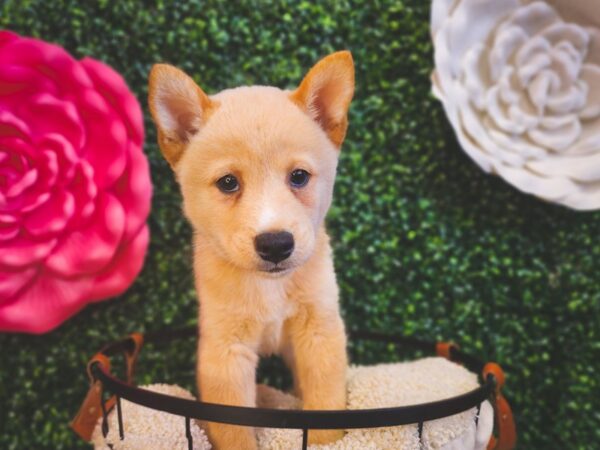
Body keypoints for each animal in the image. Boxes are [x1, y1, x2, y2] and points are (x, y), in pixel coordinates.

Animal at [149, 51, 354, 450]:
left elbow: (325, 409)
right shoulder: (226, 351)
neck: (271, 288)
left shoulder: (319, 333)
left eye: (299, 177)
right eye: (228, 182)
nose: (275, 244)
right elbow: (234, 431)